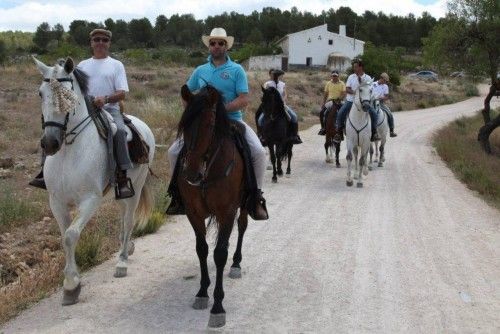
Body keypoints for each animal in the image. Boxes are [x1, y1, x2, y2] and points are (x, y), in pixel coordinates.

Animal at [34, 57, 155, 306]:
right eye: (41, 93)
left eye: (68, 95)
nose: (50, 143)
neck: (69, 150)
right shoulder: (56, 202)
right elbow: (63, 237)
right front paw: (70, 282)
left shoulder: (90, 200)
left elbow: (71, 236)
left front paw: (71, 285)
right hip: (123, 191)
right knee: (122, 218)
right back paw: (126, 246)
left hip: (137, 188)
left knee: (129, 220)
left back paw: (122, 261)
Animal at [177, 84, 249, 328]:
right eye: (184, 124)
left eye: (209, 125)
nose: (190, 173)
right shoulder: (194, 213)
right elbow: (202, 249)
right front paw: (202, 292)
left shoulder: (227, 212)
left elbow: (219, 254)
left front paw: (217, 306)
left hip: (243, 206)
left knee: (242, 227)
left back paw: (236, 264)